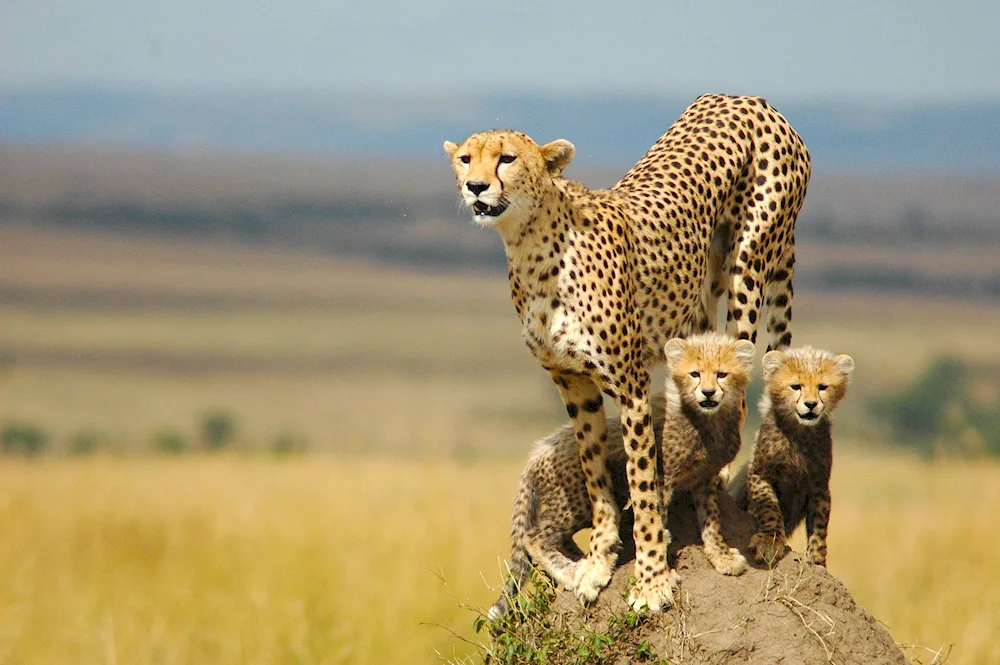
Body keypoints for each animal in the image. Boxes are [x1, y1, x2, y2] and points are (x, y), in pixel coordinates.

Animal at [446, 93, 812, 612]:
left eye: (506, 158)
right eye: (465, 158)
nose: (475, 186)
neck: (532, 247)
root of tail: (746, 98)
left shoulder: (630, 383)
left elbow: (642, 485)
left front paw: (652, 579)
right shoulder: (573, 383)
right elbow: (595, 470)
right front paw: (599, 560)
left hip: (750, 269)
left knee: (736, 391)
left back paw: (718, 515)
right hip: (701, 297)